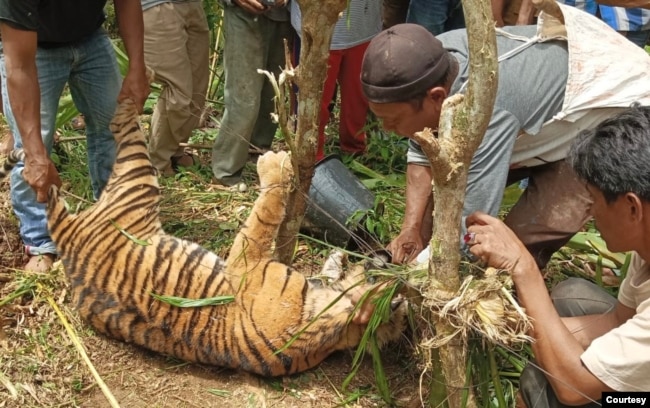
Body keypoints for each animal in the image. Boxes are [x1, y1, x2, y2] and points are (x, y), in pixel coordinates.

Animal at [2, 98, 404, 376]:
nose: (389, 258)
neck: (332, 326)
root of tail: (68, 245)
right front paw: (337, 259)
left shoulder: (248, 264)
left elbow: (265, 215)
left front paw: (274, 163)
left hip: (137, 180)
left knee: (120, 123)